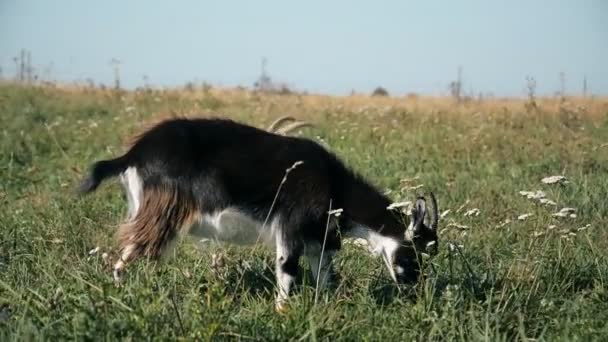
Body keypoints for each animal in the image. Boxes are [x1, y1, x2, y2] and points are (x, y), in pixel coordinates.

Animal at [78, 117, 440, 310]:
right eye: (415, 252)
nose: (413, 294)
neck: (332, 182)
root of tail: (134, 154)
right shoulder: (291, 226)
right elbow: (287, 271)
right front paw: (282, 312)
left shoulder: (318, 239)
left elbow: (324, 275)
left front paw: (324, 308)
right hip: (163, 212)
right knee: (129, 252)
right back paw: (122, 296)